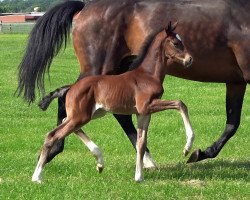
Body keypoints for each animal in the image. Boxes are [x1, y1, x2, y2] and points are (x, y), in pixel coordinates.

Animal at [17, 0, 250, 164]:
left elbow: (233, 122)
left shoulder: (236, 82)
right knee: (67, 98)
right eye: (176, 42)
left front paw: (200, 153)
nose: (189, 59)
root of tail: (86, 6)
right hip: (98, 70)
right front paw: (197, 152)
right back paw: (53, 151)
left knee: (117, 113)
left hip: (118, 70)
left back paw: (146, 159)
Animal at [32, 22, 194, 183]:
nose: (189, 59)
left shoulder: (143, 113)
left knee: (66, 123)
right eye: (176, 43)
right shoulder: (147, 105)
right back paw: (37, 177)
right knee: (53, 135)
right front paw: (187, 147)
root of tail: (71, 87)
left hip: (92, 113)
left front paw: (138, 177)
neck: (148, 75)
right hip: (81, 116)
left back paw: (99, 161)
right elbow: (180, 103)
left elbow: (141, 143)